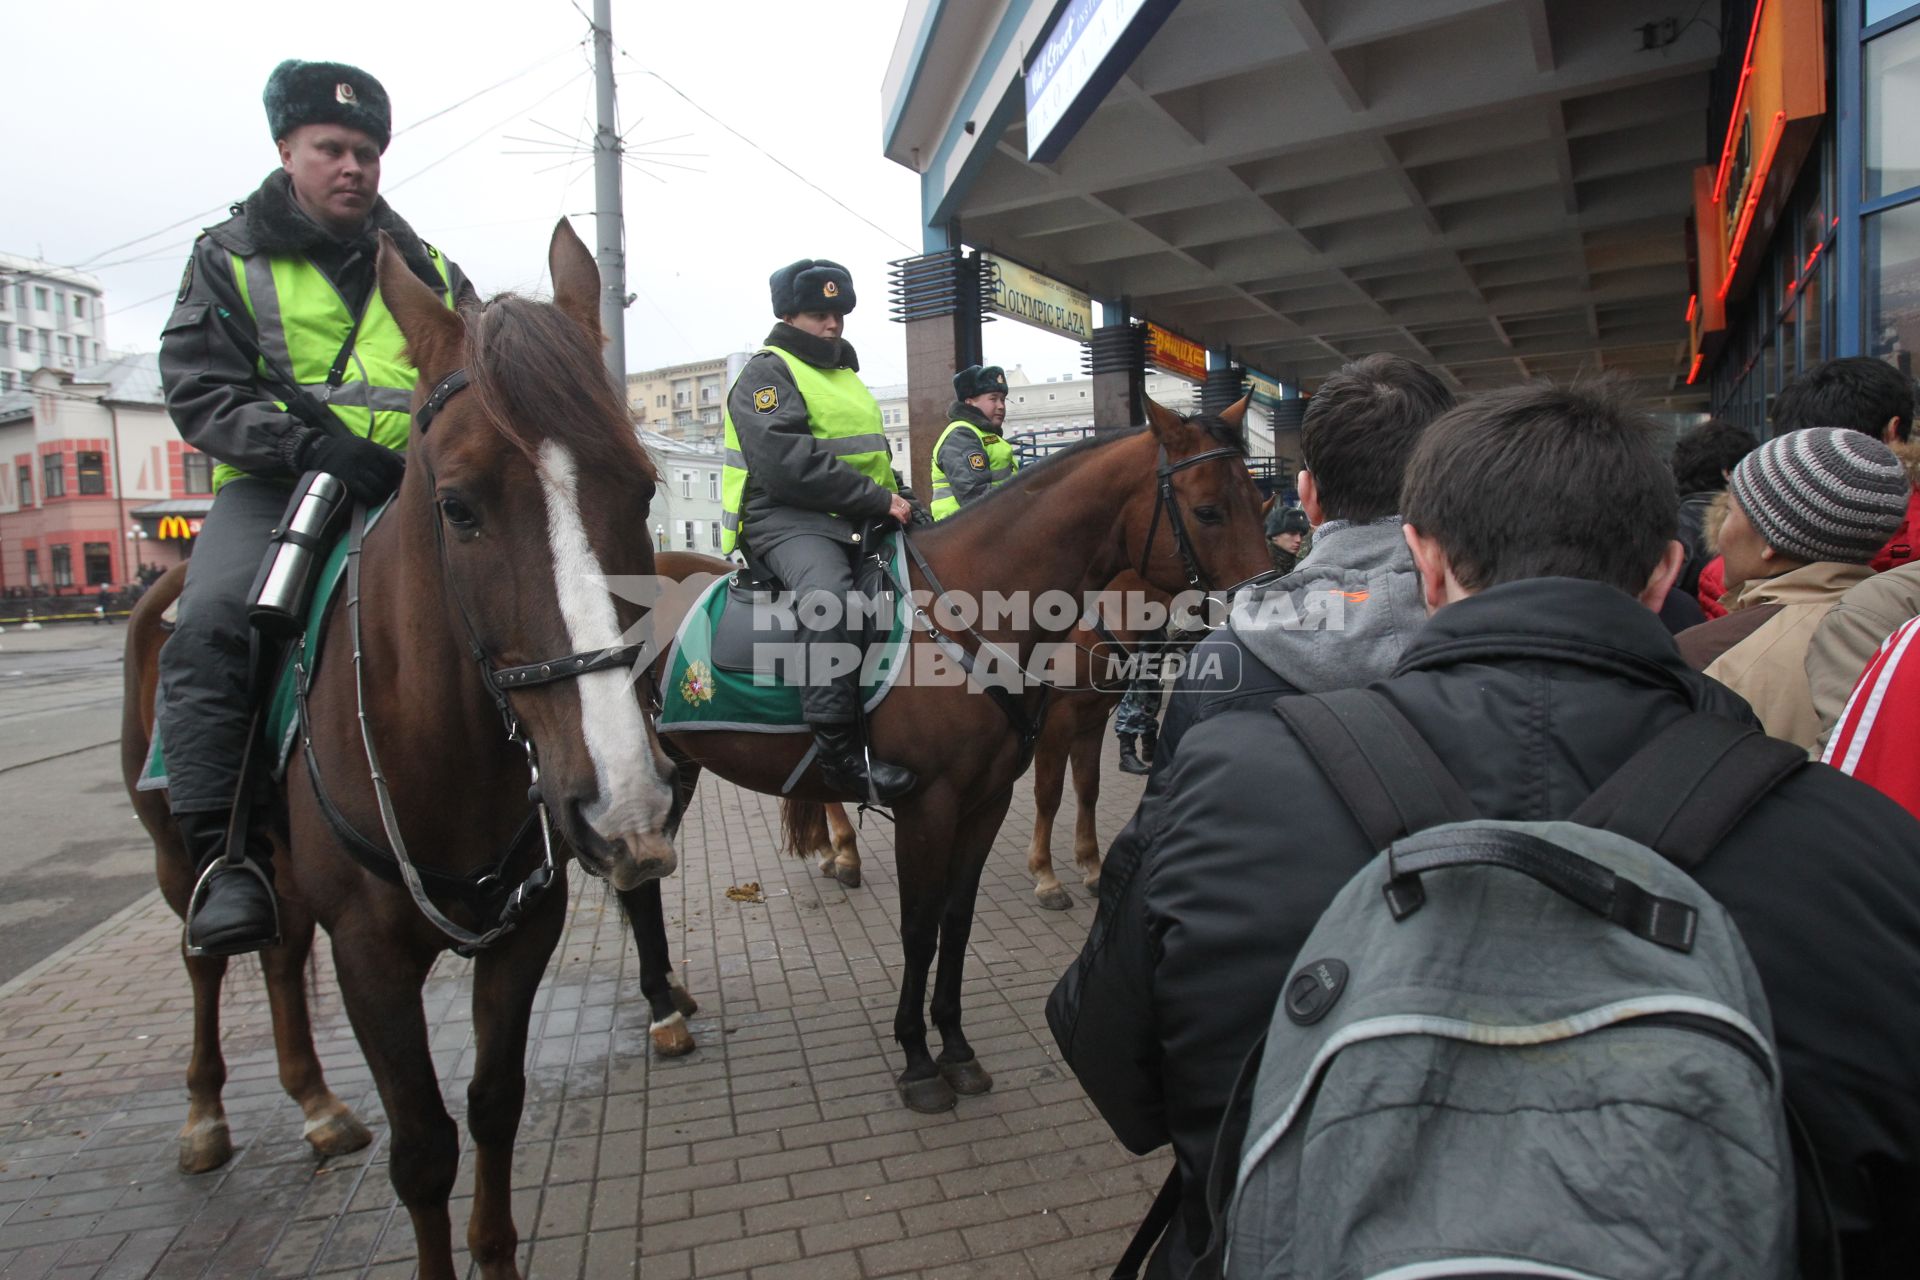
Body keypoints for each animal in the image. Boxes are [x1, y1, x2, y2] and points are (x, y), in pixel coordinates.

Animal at [123, 222, 679, 1280]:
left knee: (277, 954)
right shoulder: (370, 955)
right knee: (206, 959)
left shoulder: (525, 933)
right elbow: (424, 1150)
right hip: (179, 857)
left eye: (643, 486)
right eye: (458, 506)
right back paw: (206, 1115)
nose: (622, 807)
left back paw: (315, 1103)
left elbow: (495, 1109)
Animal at [618, 402, 1274, 1113]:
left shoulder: (988, 799)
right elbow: (919, 926)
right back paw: (669, 1008)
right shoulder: (927, 805)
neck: (971, 607)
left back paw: (671, 997)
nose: (1264, 605)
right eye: (1209, 510)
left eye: (1260, 500)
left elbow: (956, 922)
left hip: (677, 768)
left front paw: (956, 1048)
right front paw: (916, 1060)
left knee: (640, 879)